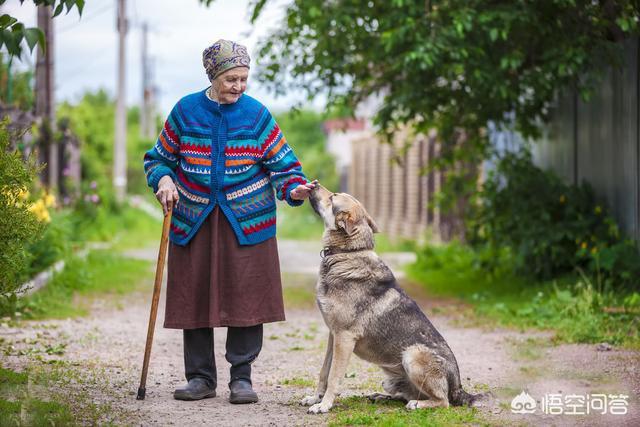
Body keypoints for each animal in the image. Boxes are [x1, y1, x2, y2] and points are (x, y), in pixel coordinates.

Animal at [302, 184, 482, 414]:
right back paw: (380, 397)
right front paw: (315, 399)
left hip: (412, 355)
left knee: (442, 402)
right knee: (404, 395)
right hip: (390, 379)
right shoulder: (333, 336)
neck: (348, 252)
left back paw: (417, 404)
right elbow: (324, 373)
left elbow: (334, 377)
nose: (314, 183)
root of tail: (459, 387)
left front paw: (324, 405)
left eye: (333, 197)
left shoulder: (344, 338)